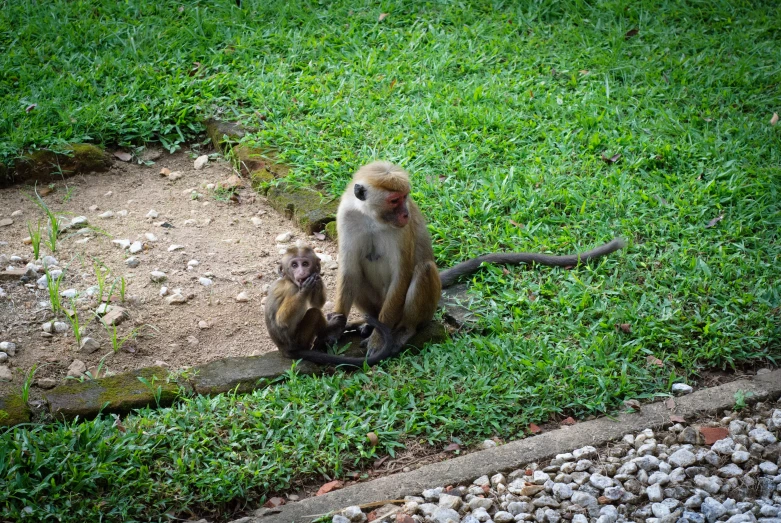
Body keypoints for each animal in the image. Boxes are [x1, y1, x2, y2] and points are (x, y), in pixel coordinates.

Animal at [264, 245, 396, 364]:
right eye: (294, 265)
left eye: (305, 264)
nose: (301, 271)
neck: (289, 280)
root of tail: (284, 350)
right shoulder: (291, 289)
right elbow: (282, 320)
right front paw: (305, 289)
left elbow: (316, 303)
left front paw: (317, 277)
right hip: (299, 341)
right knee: (314, 313)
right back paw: (331, 326)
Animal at [326, 161, 624, 356]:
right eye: (393, 201)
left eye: (405, 198)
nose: (405, 214)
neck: (372, 217)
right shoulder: (347, 215)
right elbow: (349, 270)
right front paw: (336, 327)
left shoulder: (401, 232)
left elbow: (403, 274)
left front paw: (380, 339)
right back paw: (367, 322)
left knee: (423, 269)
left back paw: (403, 329)